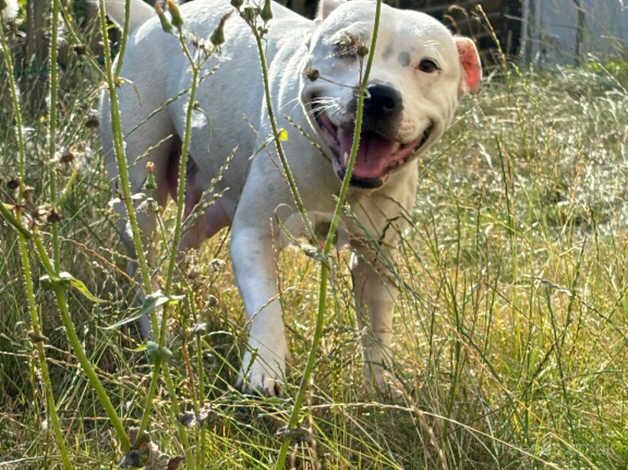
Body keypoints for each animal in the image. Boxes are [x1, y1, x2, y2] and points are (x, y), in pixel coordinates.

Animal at [100, 0, 480, 394]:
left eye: (428, 65)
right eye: (344, 47)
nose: (379, 95)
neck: (342, 179)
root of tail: (146, 22)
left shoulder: (377, 257)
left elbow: (376, 326)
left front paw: (381, 383)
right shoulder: (255, 233)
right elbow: (267, 304)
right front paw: (264, 367)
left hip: (208, 210)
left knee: (177, 251)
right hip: (139, 191)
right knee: (145, 266)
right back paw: (158, 333)